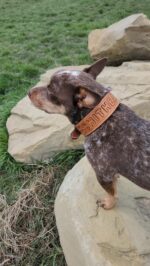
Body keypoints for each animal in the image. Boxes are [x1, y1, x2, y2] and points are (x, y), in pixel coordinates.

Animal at [28, 58, 150, 210]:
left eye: (50, 89)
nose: (29, 91)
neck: (101, 120)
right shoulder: (109, 174)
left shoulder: (102, 174)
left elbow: (112, 193)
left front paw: (108, 204)